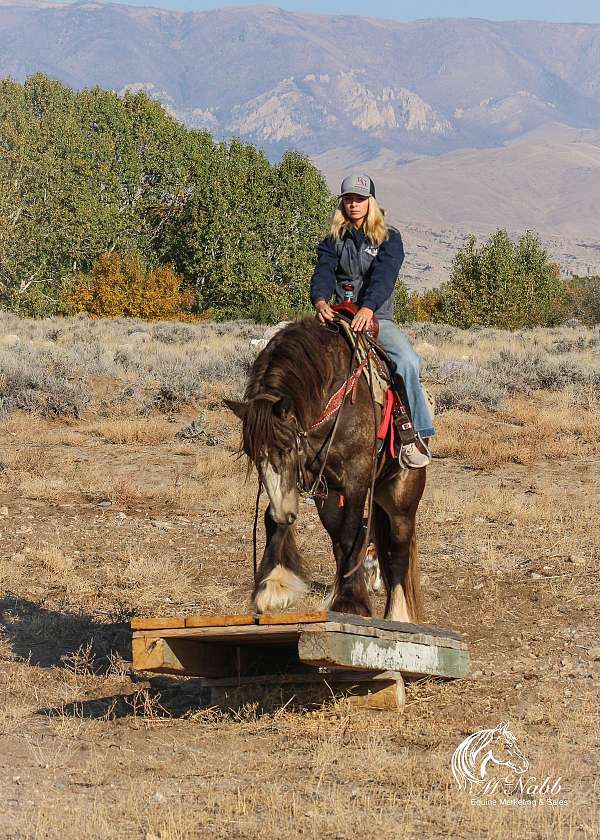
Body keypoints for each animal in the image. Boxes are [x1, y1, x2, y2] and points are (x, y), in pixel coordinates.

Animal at [225, 318, 426, 620]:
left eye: (287, 446)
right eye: (252, 453)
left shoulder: (356, 476)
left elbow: (351, 532)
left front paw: (351, 602)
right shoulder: (309, 479)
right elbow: (277, 517)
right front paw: (273, 587)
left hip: (402, 496)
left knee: (399, 547)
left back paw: (397, 615)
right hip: (332, 497)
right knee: (340, 541)